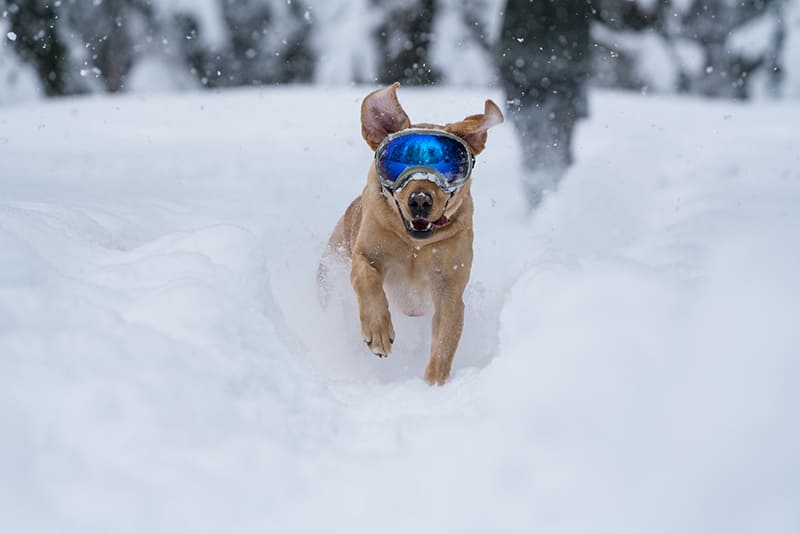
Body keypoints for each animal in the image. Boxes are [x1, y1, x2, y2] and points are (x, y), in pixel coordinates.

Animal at [318, 82, 500, 386]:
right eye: (398, 161)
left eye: (448, 164)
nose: (420, 200)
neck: (415, 246)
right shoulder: (366, 253)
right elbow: (366, 276)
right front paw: (378, 332)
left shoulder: (449, 288)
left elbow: (444, 343)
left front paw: (432, 384)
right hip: (329, 271)